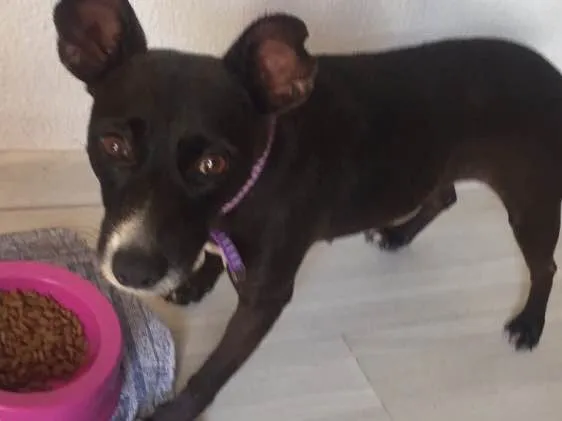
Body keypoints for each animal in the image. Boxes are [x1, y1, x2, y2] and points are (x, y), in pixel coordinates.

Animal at [53, 1, 562, 419]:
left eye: (213, 163)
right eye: (113, 144)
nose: (133, 271)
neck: (250, 181)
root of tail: (553, 76)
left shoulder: (265, 298)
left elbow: (213, 371)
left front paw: (176, 413)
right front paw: (197, 282)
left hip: (531, 204)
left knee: (545, 265)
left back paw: (529, 325)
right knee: (444, 196)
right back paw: (397, 234)